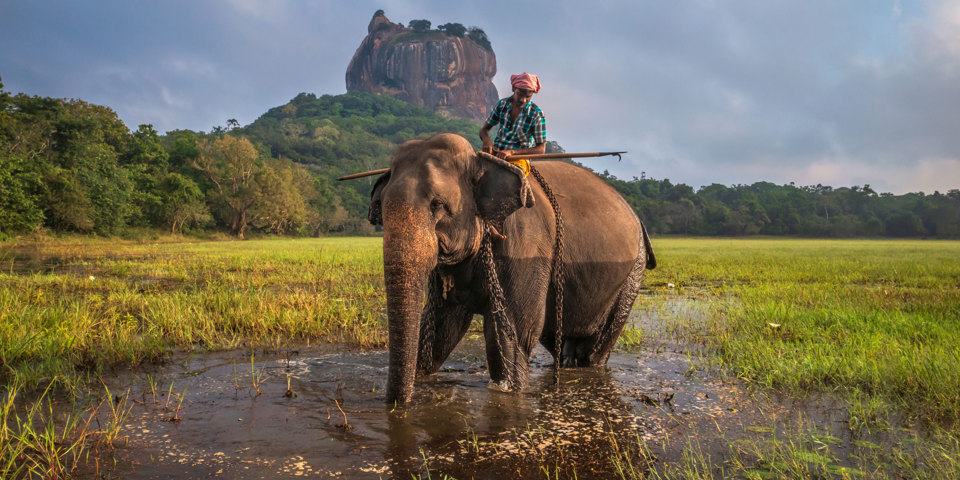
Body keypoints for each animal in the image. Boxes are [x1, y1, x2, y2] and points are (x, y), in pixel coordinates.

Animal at [370, 133, 660, 404]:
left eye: (437, 205)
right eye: (381, 207)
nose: (399, 404)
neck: (480, 162)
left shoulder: (526, 248)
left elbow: (511, 334)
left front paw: (510, 391)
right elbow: (443, 328)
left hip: (631, 274)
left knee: (594, 348)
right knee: (560, 339)